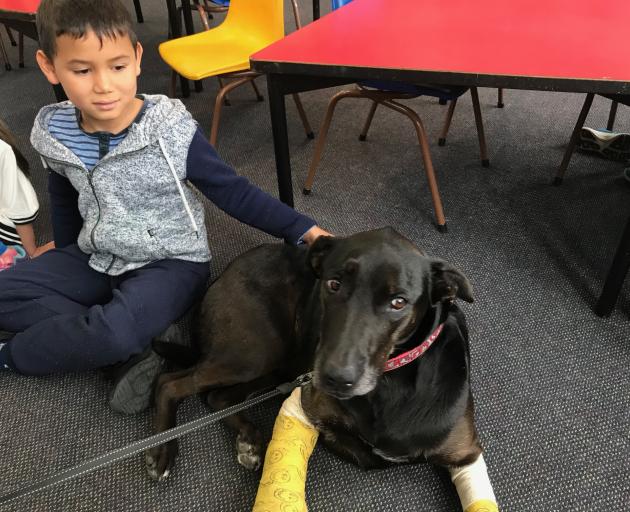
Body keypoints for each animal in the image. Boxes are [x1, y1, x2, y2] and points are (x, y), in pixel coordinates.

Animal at [147, 227, 484, 480]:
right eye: (333, 284)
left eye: (399, 302)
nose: (336, 378)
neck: (393, 381)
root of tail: (222, 274)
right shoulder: (314, 405)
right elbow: (369, 456)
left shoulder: (467, 454)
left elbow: (380, 454)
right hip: (255, 354)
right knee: (169, 383)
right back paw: (163, 450)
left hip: (278, 366)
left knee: (217, 397)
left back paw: (248, 439)